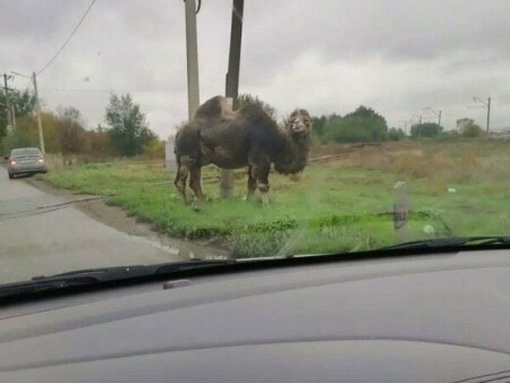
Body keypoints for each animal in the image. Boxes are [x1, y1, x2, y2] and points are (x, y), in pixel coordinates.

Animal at [173, 95, 312, 206]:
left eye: (307, 121)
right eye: (292, 120)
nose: (296, 125)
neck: (278, 142)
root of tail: (178, 133)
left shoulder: (252, 162)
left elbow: (251, 184)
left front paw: (248, 204)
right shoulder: (261, 158)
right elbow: (263, 185)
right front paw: (266, 206)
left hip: (197, 160)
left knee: (194, 182)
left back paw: (203, 204)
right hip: (187, 155)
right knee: (181, 181)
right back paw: (185, 204)